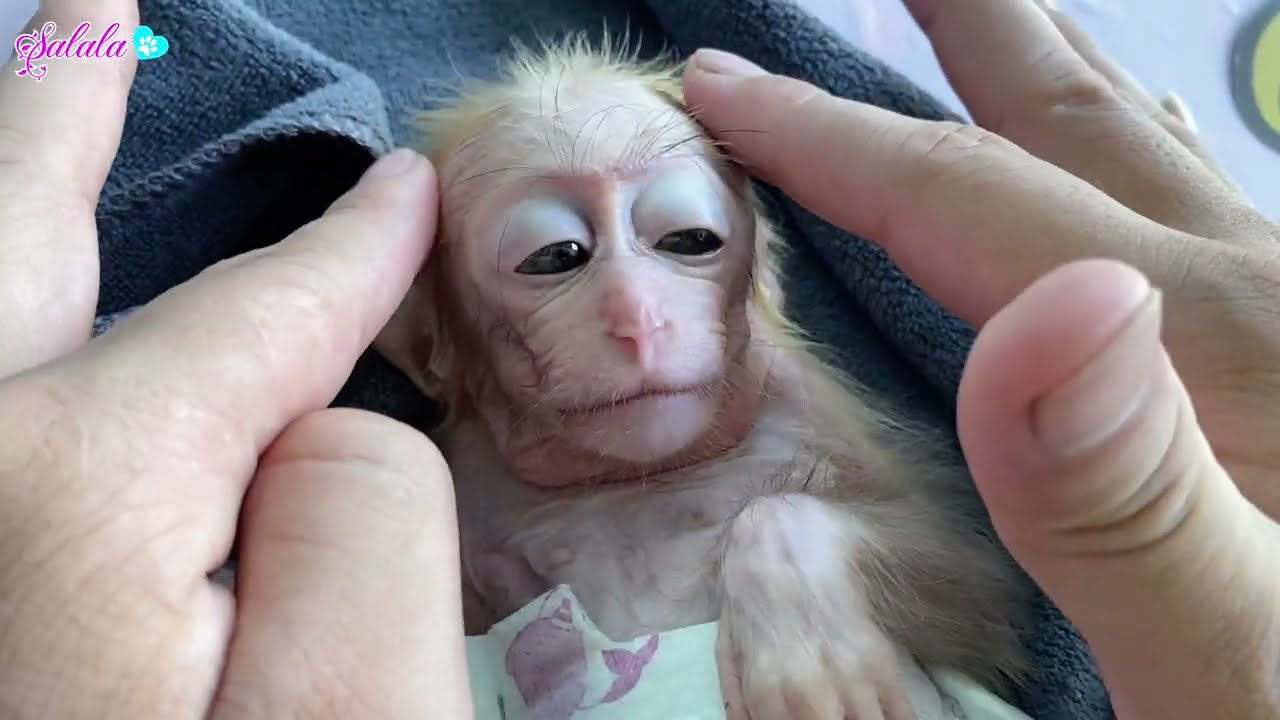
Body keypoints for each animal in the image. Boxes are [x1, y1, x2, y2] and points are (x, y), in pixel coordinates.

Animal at [376, 34, 1029, 719]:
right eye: (556, 255)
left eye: (688, 240)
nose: (639, 317)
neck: (637, 477)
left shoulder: (816, 415)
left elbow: (978, 603)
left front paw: (803, 625)